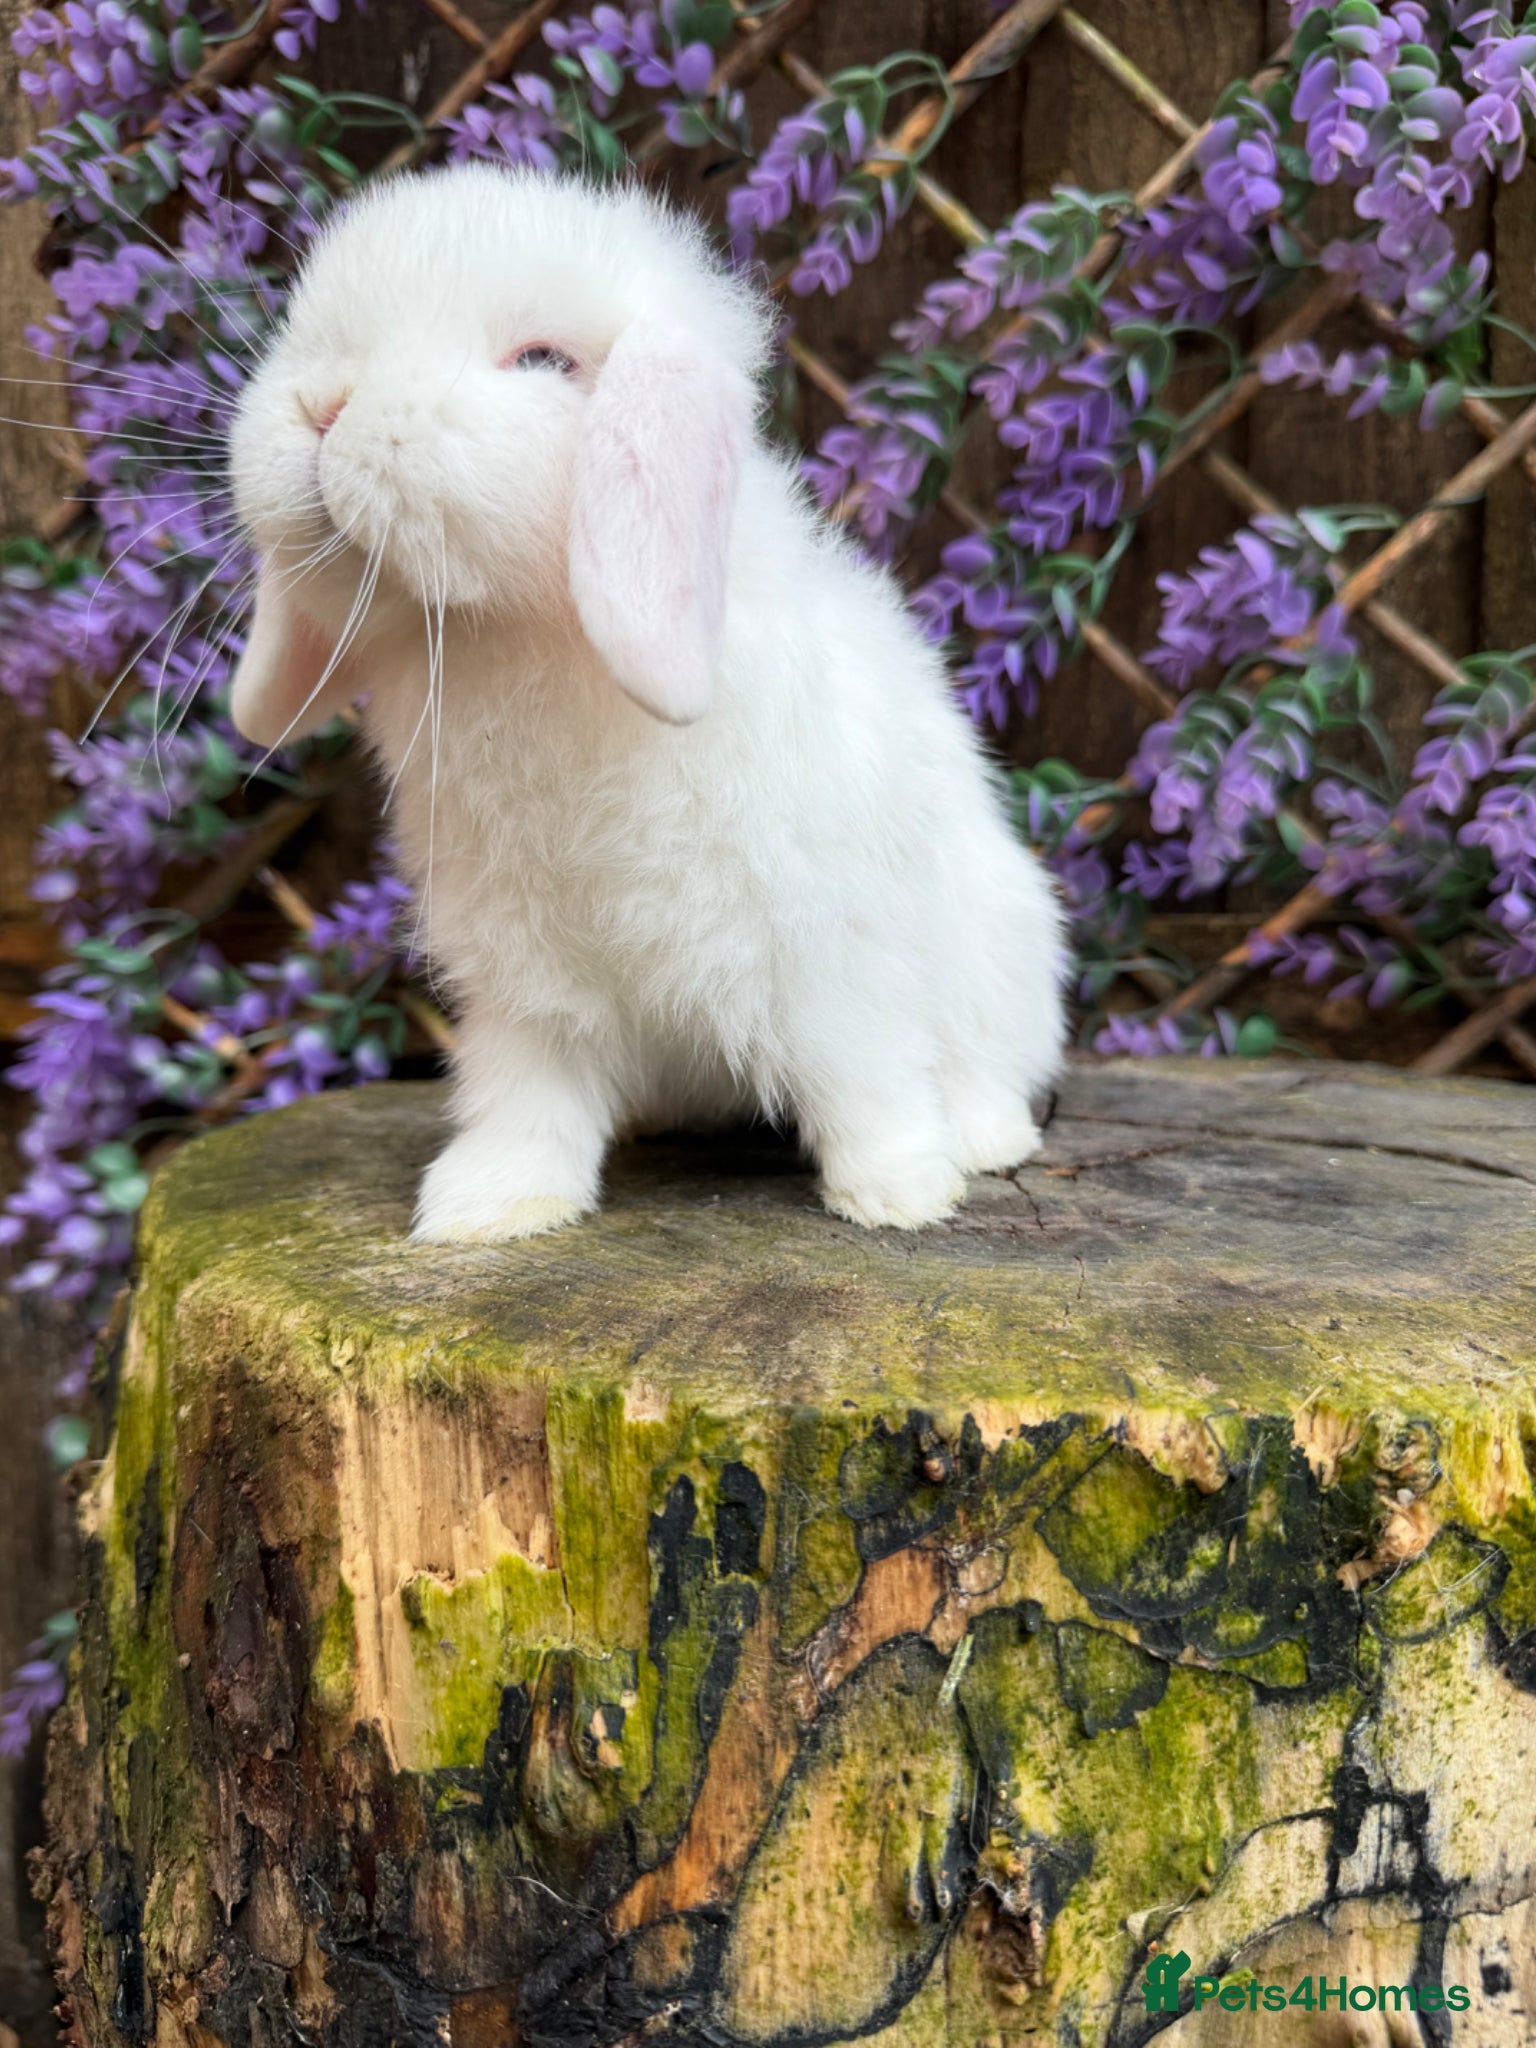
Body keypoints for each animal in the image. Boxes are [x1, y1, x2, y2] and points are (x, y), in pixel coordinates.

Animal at [226, 164, 1066, 1241]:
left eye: (544, 359)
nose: (323, 403)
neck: (524, 637)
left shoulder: (831, 945)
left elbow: (863, 1071)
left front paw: (898, 1194)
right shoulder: (527, 983)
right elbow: (528, 1098)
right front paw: (487, 1206)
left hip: (1003, 946)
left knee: (984, 1065)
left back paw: (979, 1139)